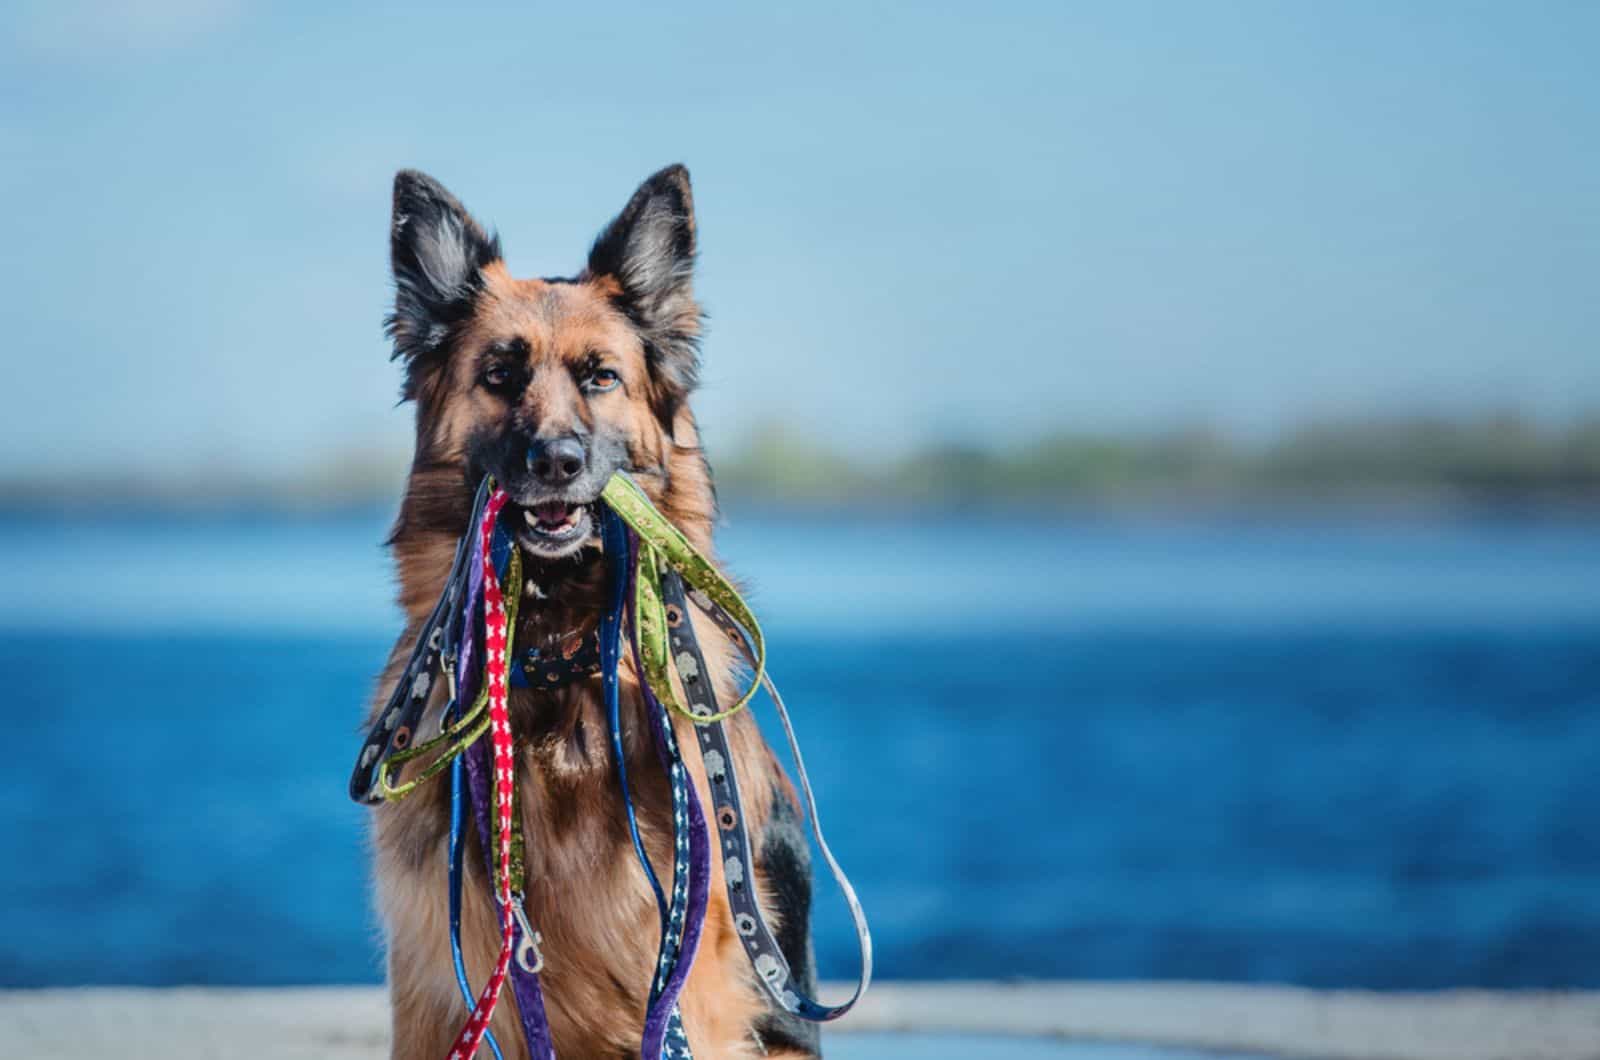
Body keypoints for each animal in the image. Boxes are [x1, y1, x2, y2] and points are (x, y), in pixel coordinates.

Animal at [368, 168, 819, 1060]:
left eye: (600, 376)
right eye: (501, 375)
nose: (558, 461)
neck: (557, 658)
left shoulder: (689, 984)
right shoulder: (432, 989)